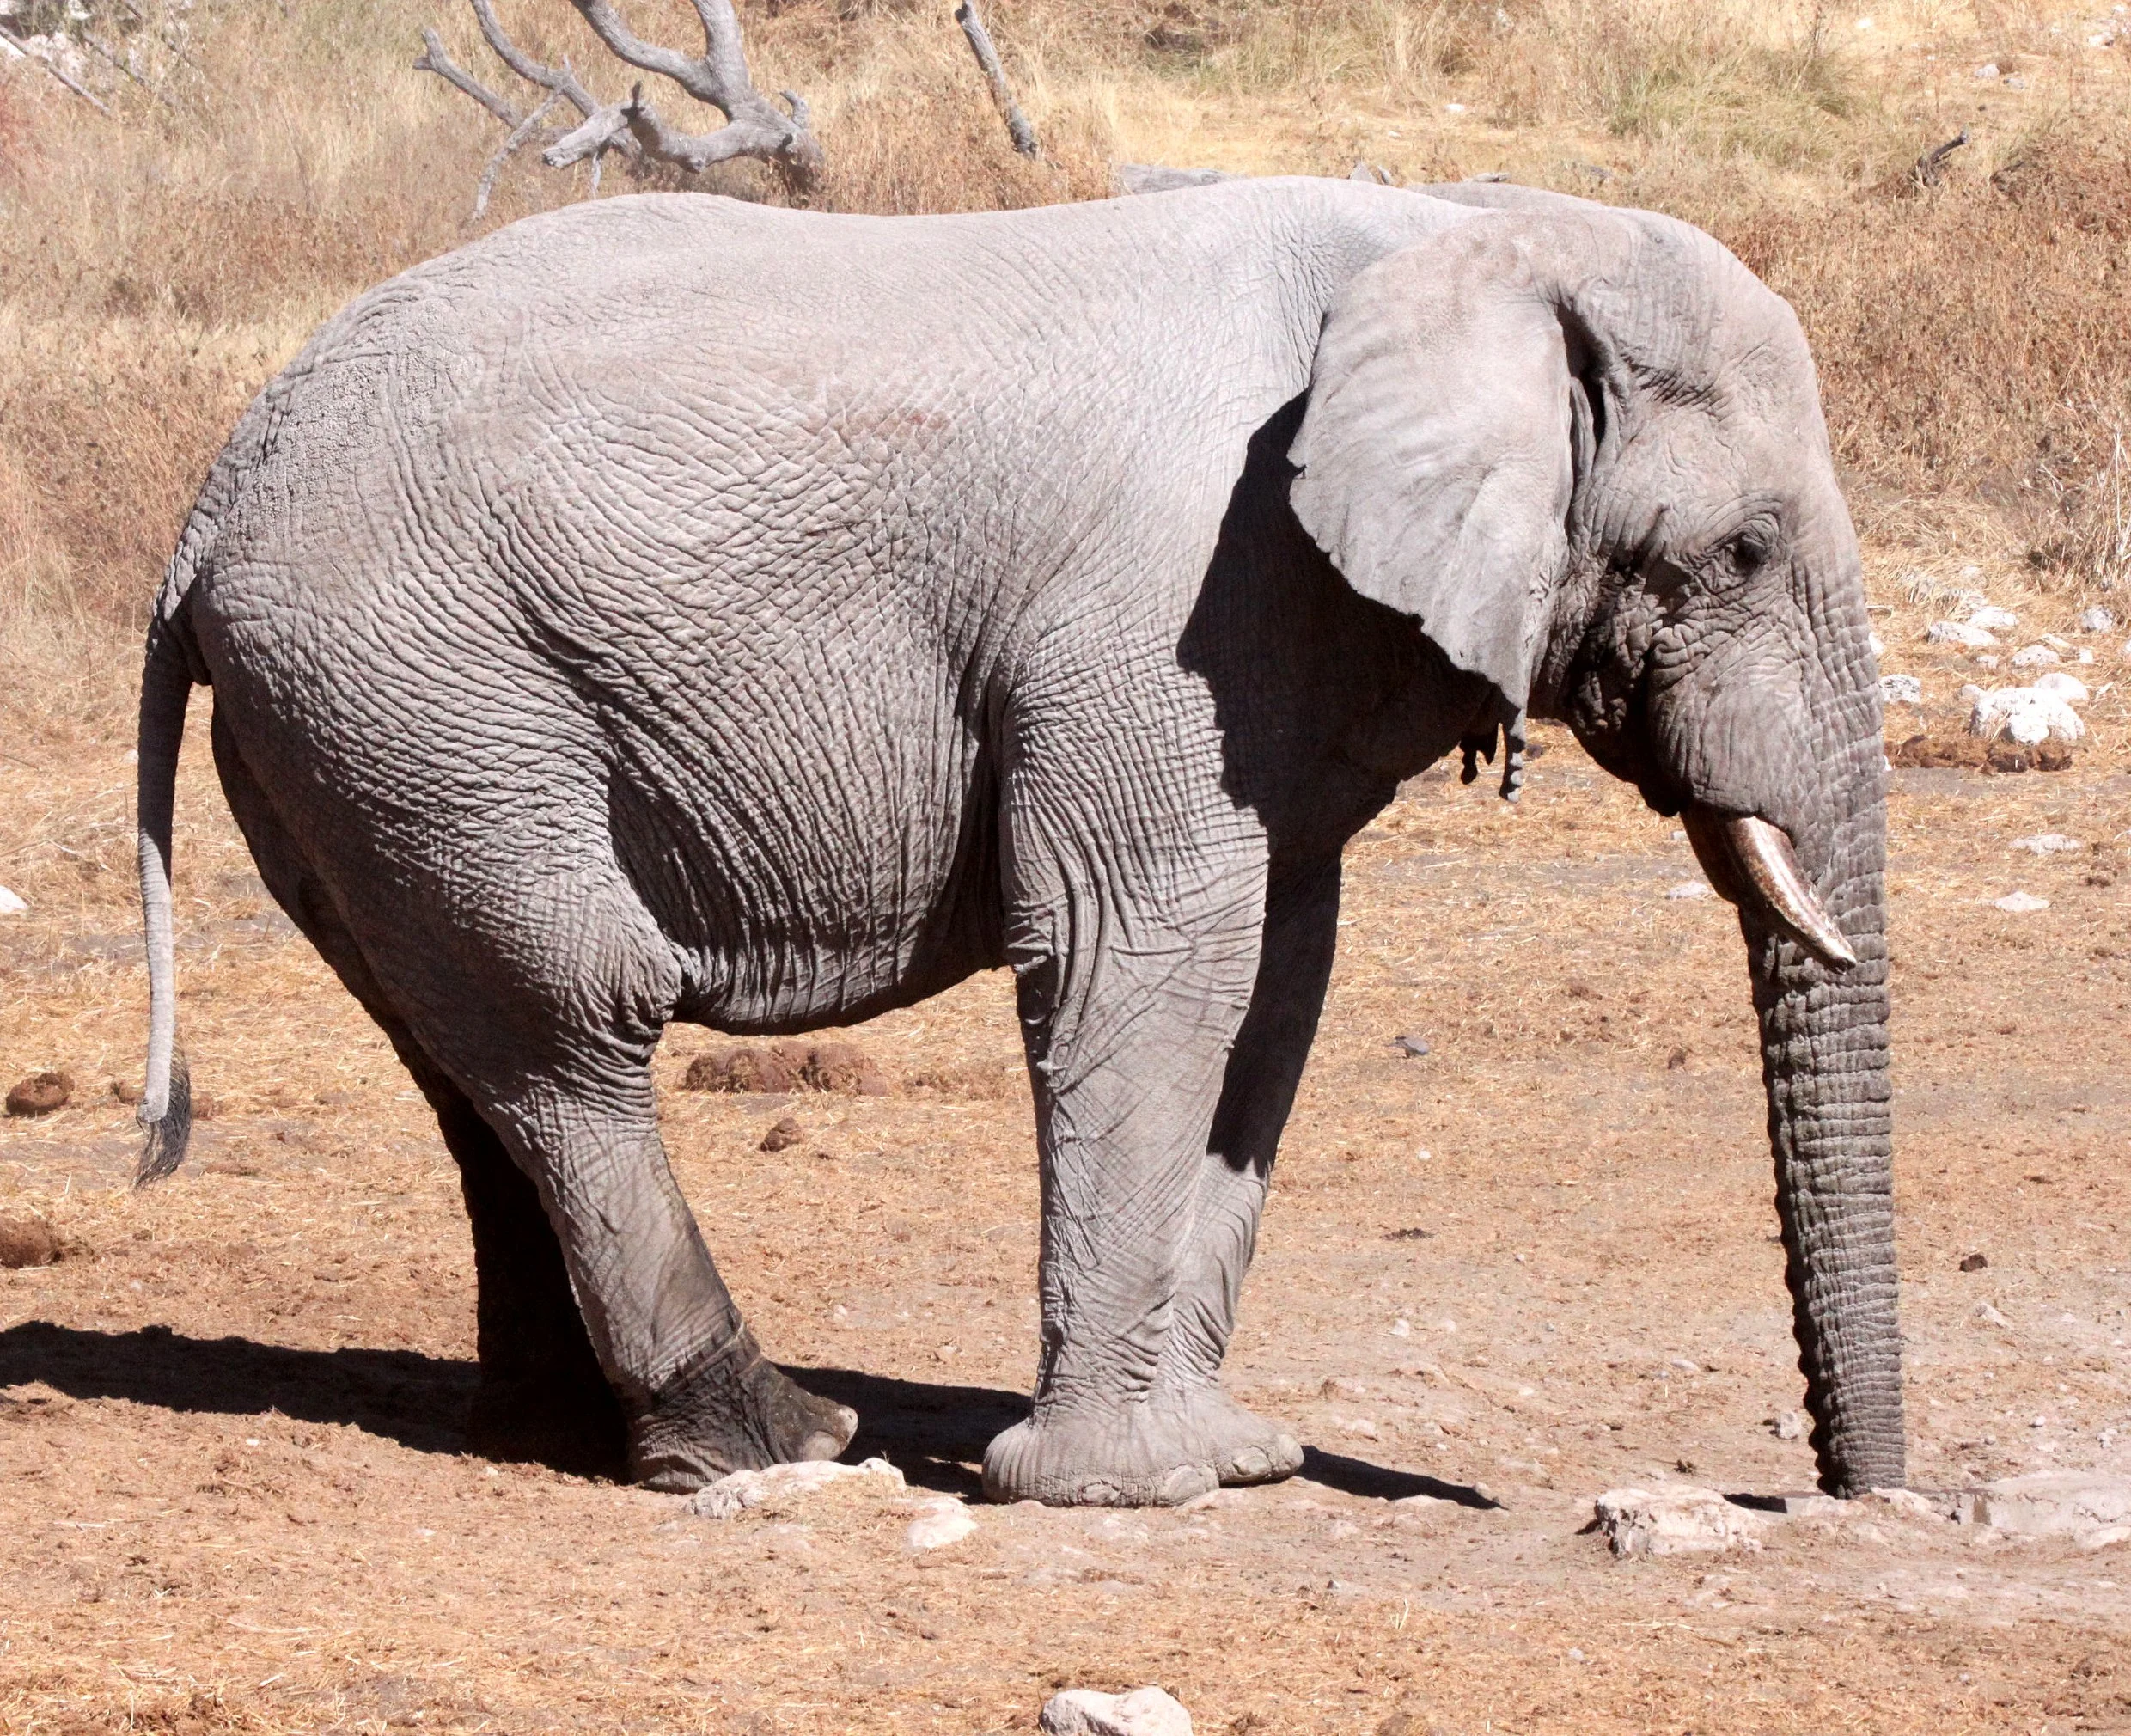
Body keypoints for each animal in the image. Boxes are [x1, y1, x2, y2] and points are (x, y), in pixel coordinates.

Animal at [134, 174, 1902, 1506]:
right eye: (1740, 552)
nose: (1844, 1493)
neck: (1474, 230)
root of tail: (204, 513)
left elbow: (1279, 985)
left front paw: (1231, 1461)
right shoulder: (1180, 596)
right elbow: (1151, 959)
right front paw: (1129, 1492)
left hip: (354, 743)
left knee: (460, 1054)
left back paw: (562, 1440)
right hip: (430, 703)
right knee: (569, 1030)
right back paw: (776, 1446)